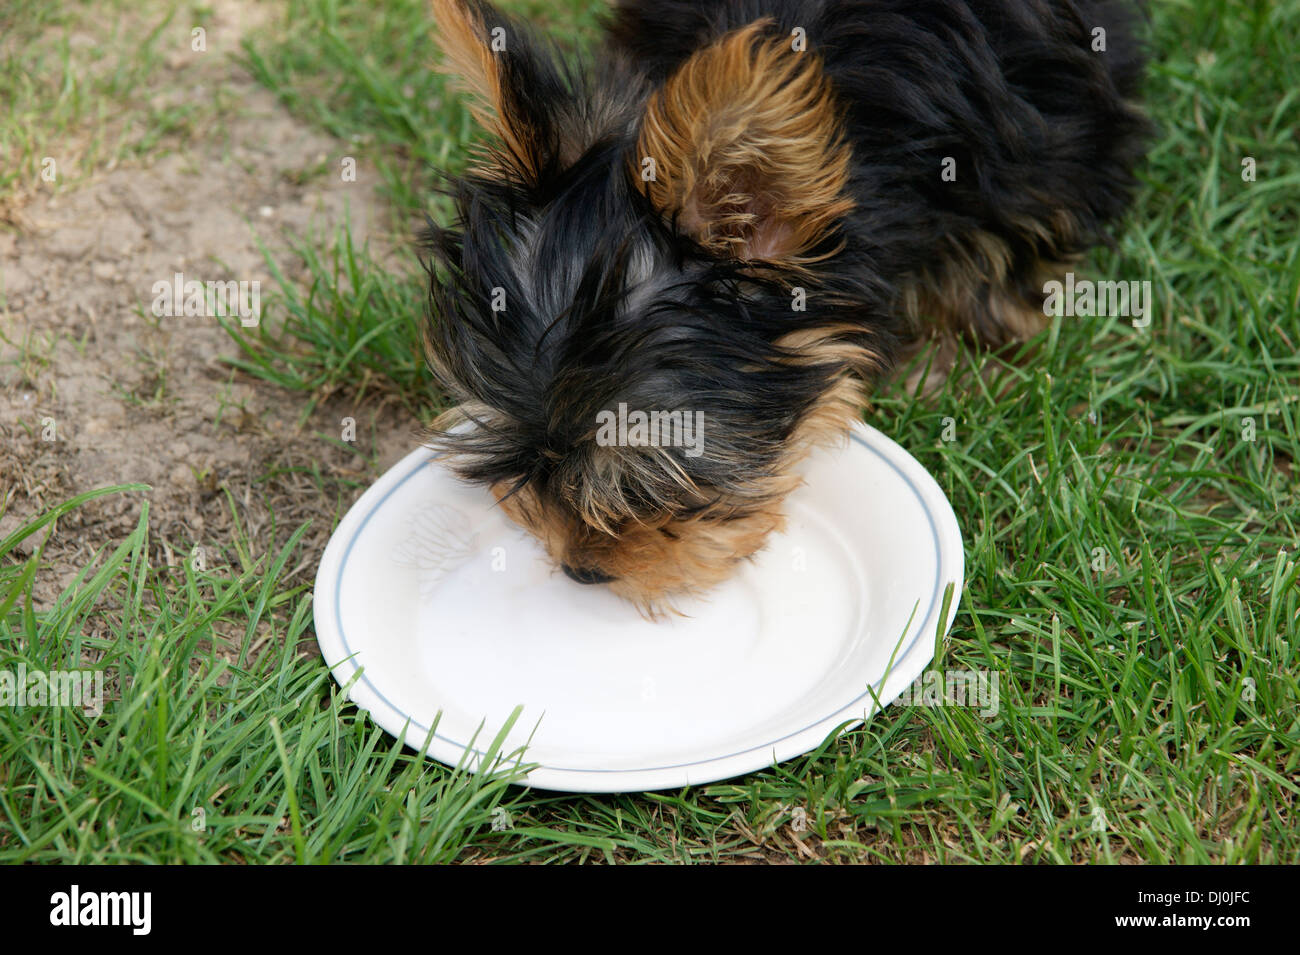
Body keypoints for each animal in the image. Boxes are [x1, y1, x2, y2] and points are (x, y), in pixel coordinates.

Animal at [423, 0, 1149, 613]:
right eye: (522, 466)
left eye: (647, 483)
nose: (581, 568)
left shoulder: (1036, 134)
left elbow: (1016, 236)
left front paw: (981, 335)